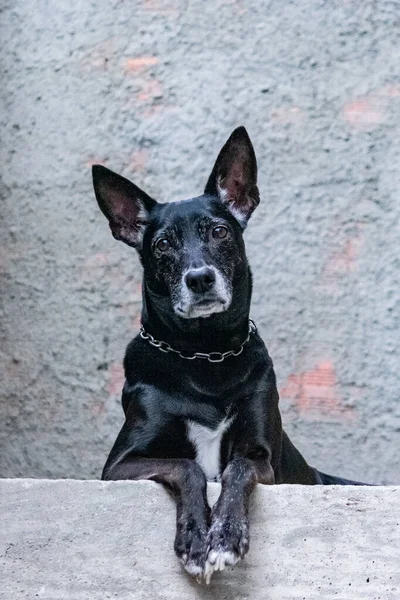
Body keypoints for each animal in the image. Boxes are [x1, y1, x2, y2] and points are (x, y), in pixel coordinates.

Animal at [91, 129, 366, 584]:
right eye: (162, 244)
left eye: (219, 231)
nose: (200, 279)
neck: (206, 355)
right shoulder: (119, 465)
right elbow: (188, 467)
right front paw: (195, 541)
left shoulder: (263, 458)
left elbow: (236, 469)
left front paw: (223, 539)